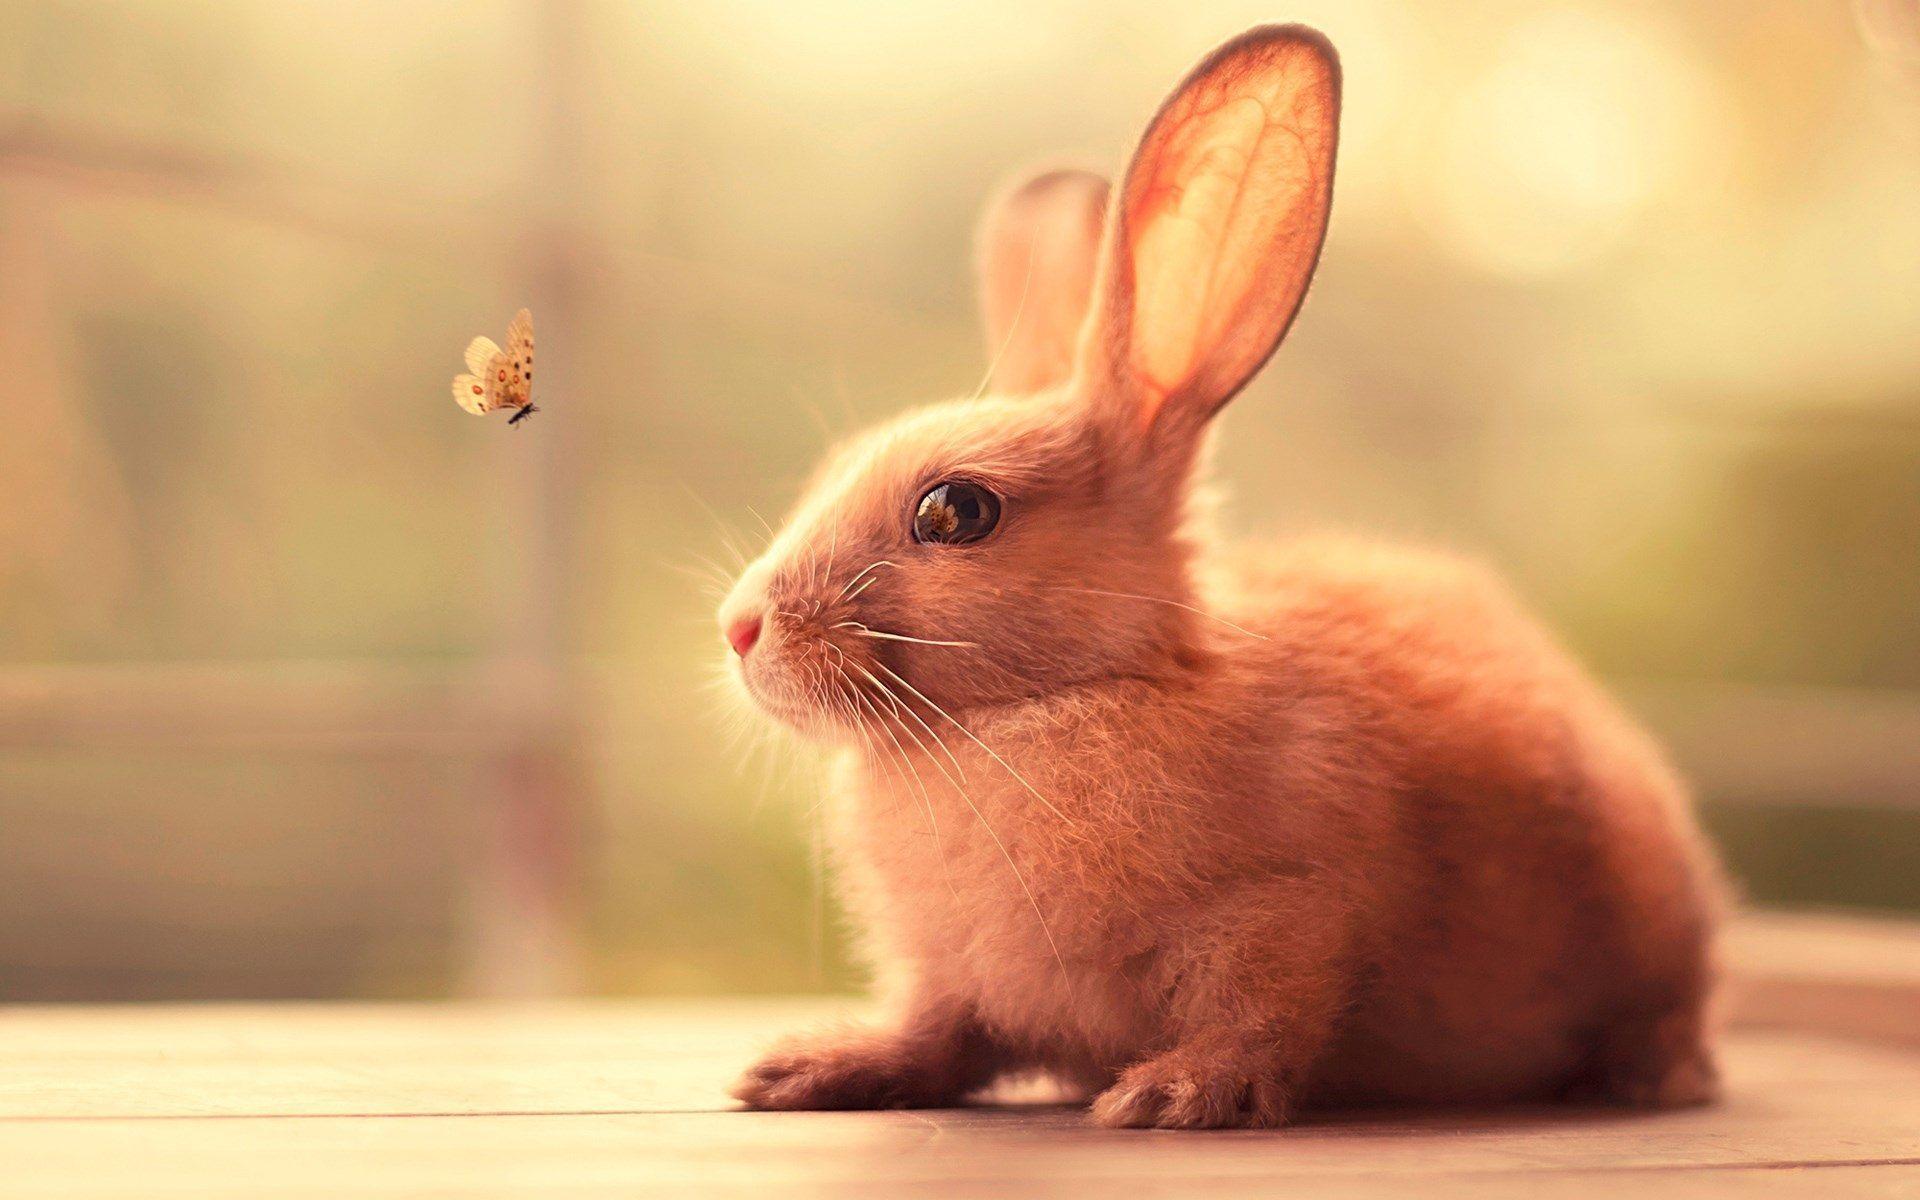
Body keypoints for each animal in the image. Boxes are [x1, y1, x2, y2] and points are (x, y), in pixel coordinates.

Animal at [715, 24, 1725, 1129]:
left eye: (956, 511)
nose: (740, 628)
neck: (1049, 703)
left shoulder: (1286, 915)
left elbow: (1260, 1019)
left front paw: (1171, 1094)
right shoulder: (952, 980)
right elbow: (936, 1035)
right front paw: (808, 1070)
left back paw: (1653, 1077)